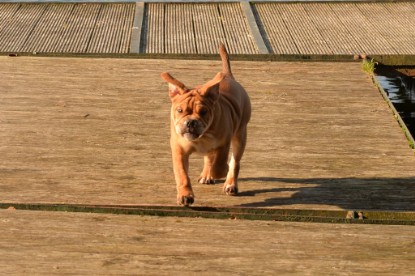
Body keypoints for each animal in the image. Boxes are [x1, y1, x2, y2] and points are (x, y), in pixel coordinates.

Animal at [161, 44, 252, 206]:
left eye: (203, 112)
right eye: (179, 110)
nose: (191, 121)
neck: (202, 137)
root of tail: (228, 76)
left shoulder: (223, 144)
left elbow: (220, 164)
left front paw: (219, 172)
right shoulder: (179, 150)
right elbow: (182, 175)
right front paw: (185, 195)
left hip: (240, 136)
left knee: (234, 162)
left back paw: (230, 183)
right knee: (209, 157)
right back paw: (206, 175)